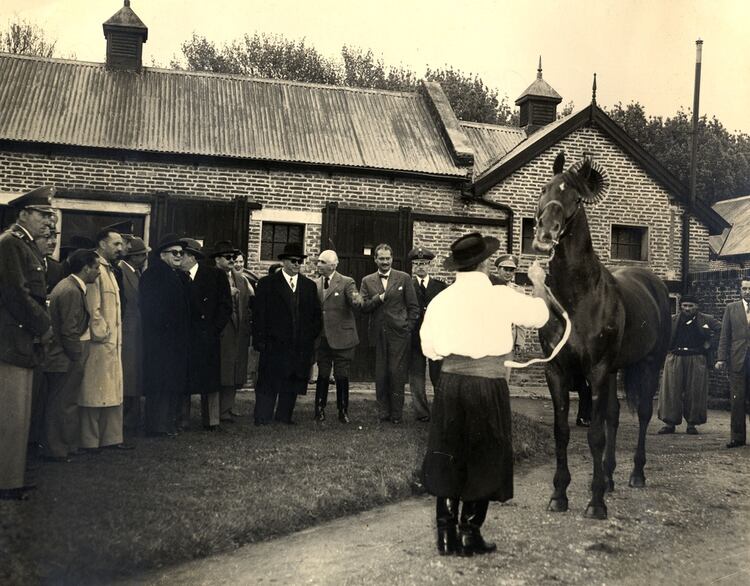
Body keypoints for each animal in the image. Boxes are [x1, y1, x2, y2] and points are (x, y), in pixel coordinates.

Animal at [532, 152, 672, 520]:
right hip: (614, 372)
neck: (577, 298)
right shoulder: (557, 371)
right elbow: (563, 431)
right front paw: (559, 495)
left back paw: (636, 474)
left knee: (641, 415)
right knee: (614, 416)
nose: (546, 233)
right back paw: (608, 478)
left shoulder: (595, 371)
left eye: (577, 199)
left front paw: (595, 504)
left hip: (648, 365)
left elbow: (594, 434)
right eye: (545, 188)